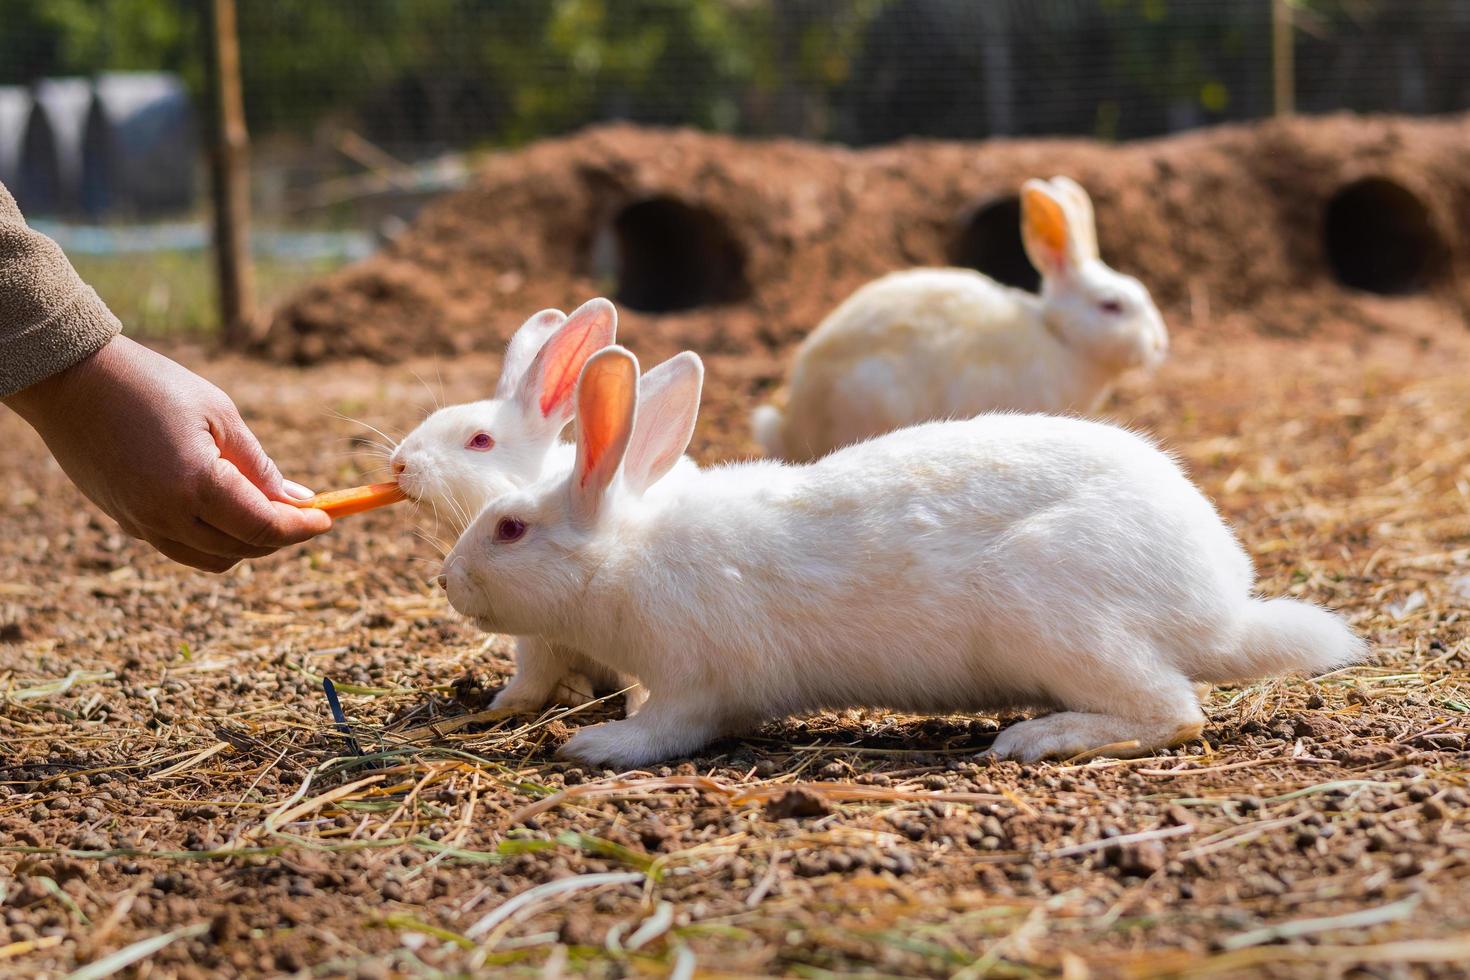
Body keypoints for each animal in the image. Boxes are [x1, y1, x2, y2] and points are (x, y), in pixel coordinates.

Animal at [443, 348, 1364, 769]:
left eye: (511, 529)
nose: (447, 582)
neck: (626, 554)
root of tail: (1219, 612)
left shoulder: (695, 686)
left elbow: (665, 729)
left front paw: (594, 747)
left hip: (1053, 616)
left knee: (1172, 713)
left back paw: (1033, 739)